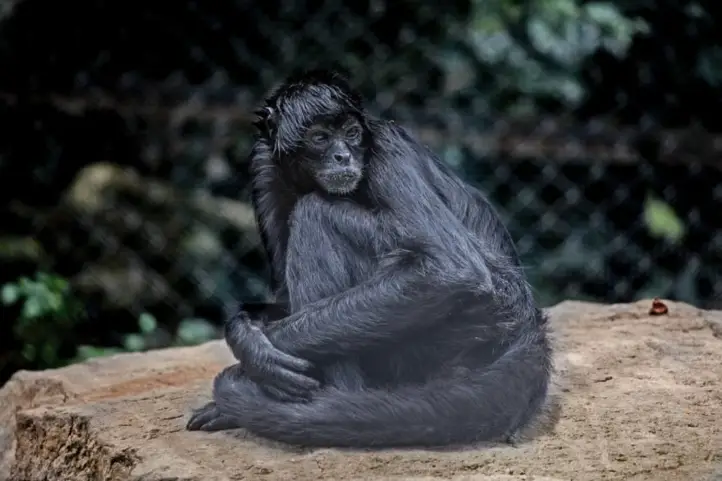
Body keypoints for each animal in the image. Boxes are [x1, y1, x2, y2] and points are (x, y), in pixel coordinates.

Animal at [186, 69, 552, 448]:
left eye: (351, 134)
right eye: (320, 138)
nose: (343, 157)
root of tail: (527, 322)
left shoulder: (386, 147)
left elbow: (451, 271)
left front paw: (252, 357)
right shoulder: (264, 166)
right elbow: (284, 298)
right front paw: (245, 337)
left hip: (458, 328)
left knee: (315, 212)